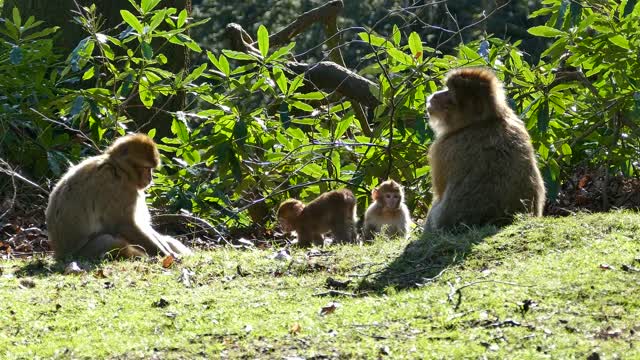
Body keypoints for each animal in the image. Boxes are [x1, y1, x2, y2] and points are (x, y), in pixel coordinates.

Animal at [45, 132, 192, 258]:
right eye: (146, 168)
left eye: (151, 169)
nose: (150, 179)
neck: (118, 169)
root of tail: (58, 253)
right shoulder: (116, 188)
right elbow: (124, 225)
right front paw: (167, 255)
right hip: (82, 253)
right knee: (110, 241)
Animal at [424, 67, 544, 231]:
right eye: (446, 88)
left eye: (449, 93)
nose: (435, 95)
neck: (483, 121)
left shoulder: (442, 148)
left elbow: (439, 192)